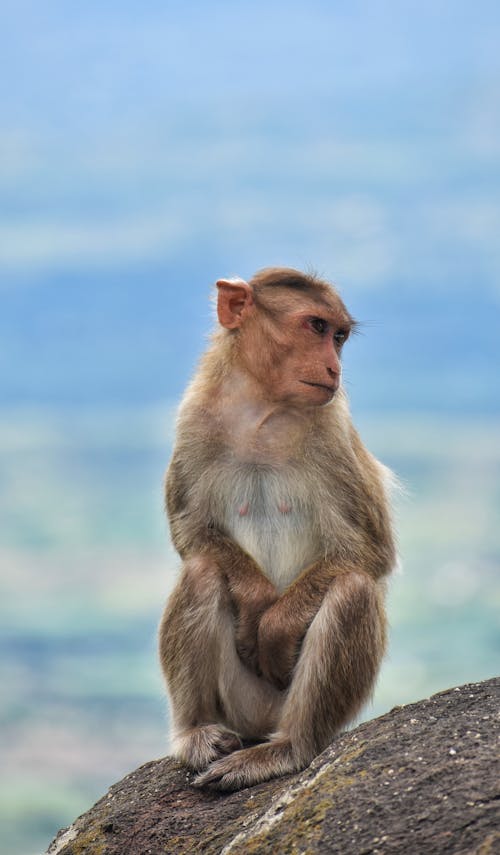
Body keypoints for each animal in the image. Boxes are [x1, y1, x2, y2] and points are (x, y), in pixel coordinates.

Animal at [158, 266, 396, 788]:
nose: (334, 368)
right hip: (239, 703)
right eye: (315, 326)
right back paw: (196, 733)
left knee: (352, 588)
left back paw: (288, 748)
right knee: (203, 571)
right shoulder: (194, 418)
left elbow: (368, 551)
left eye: (339, 336)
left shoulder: (333, 432)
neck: (262, 412)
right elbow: (191, 532)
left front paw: (274, 627)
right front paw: (253, 601)